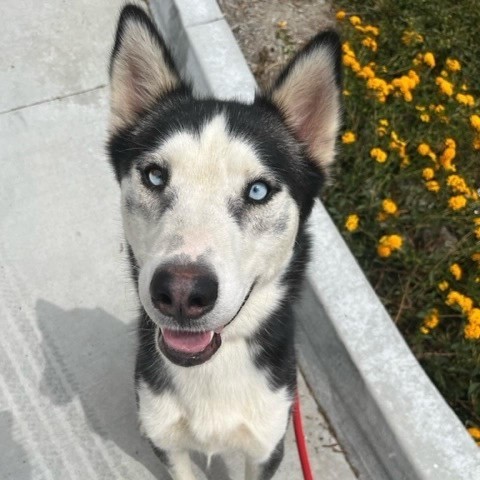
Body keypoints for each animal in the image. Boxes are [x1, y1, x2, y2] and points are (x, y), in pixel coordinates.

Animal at [108, 4, 342, 480]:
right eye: (155, 176)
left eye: (258, 190)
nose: (181, 293)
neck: (214, 367)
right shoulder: (166, 442)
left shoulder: (266, 447)